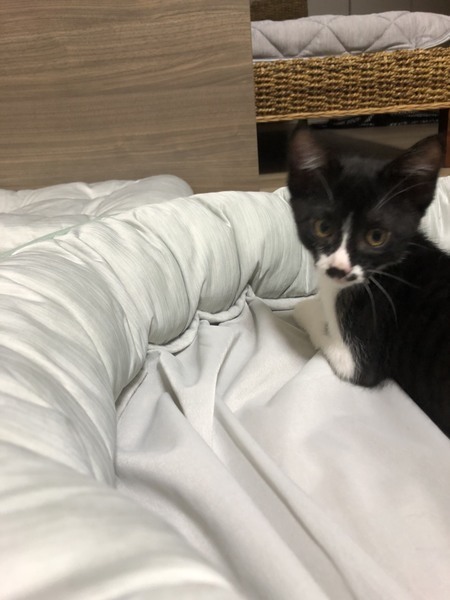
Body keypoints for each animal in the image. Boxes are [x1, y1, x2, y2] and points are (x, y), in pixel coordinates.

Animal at [288, 128, 450, 437]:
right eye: (323, 227)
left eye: (376, 237)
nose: (338, 269)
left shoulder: (359, 359)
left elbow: (311, 314)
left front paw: (307, 305)